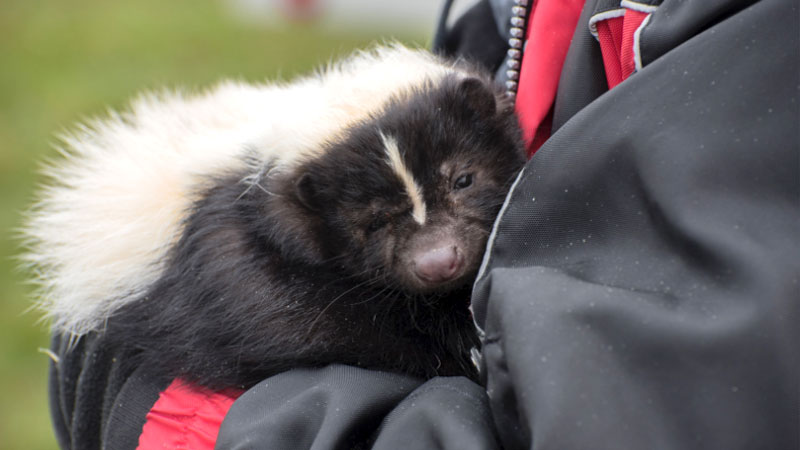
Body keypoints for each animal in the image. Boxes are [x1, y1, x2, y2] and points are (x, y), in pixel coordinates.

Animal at [25, 45, 524, 390]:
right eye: (373, 222)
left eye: (463, 179)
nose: (437, 261)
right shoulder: (227, 259)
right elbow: (297, 323)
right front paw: (459, 348)